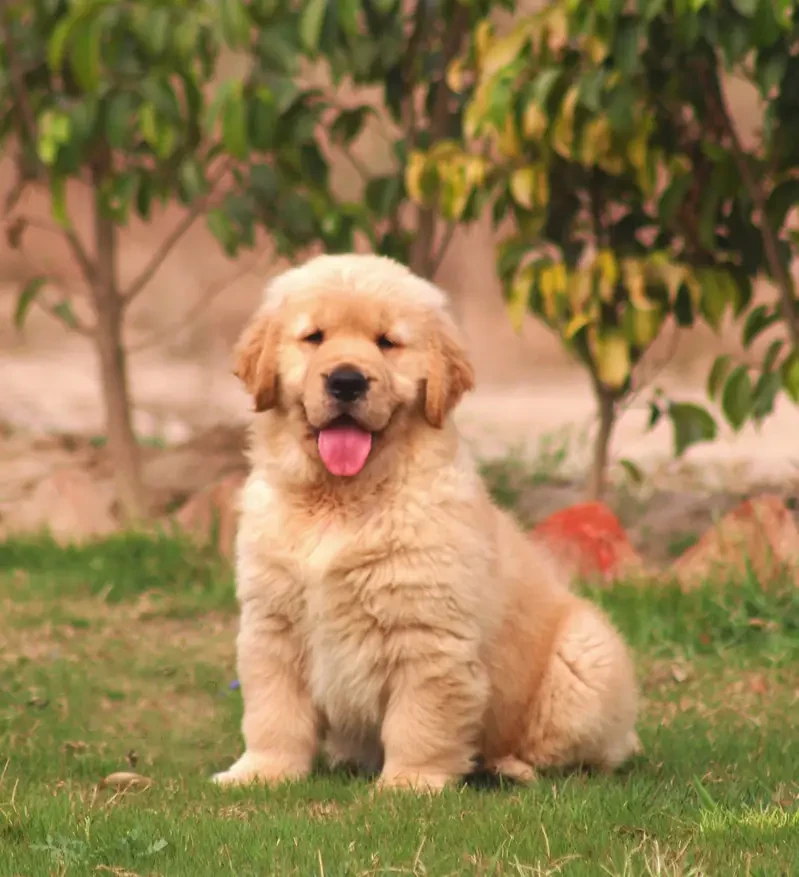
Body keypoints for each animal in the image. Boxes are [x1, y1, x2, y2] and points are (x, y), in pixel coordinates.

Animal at [212, 255, 636, 792]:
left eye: (386, 342)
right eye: (314, 337)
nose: (346, 381)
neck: (341, 500)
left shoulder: (427, 631)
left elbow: (421, 718)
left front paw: (410, 784)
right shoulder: (273, 623)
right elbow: (273, 711)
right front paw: (262, 772)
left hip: (584, 657)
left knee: (579, 754)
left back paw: (510, 766)